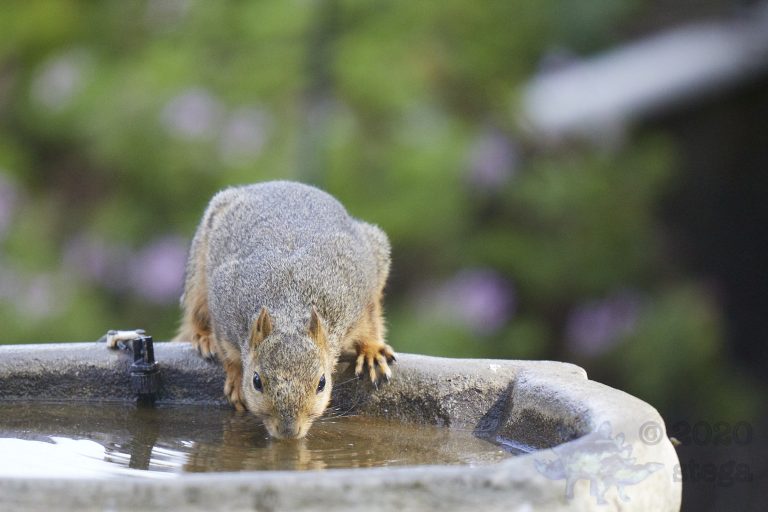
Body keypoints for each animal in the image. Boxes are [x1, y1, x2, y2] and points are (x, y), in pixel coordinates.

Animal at [173, 181, 395, 439]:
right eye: (256, 381)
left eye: (322, 383)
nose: (289, 431)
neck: (290, 304)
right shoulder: (225, 310)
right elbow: (228, 353)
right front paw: (236, 379)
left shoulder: (358, 297)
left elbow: (371, 324)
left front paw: (371, 352)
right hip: (199, 271)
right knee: (196, 312)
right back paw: (203, 337)